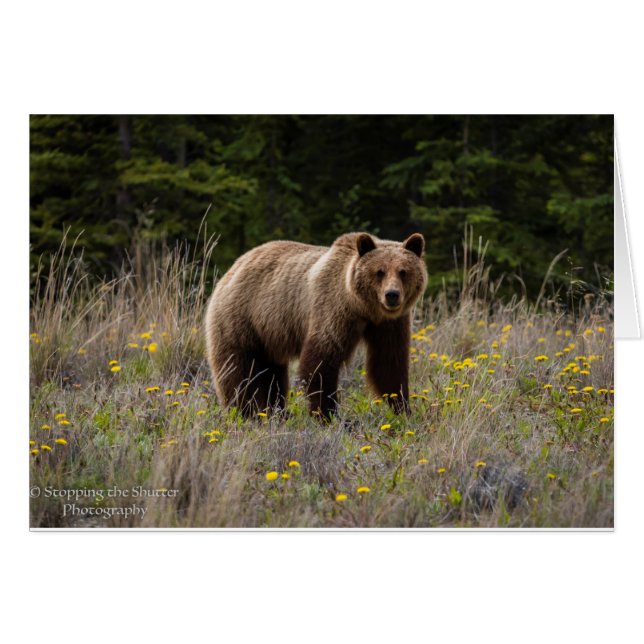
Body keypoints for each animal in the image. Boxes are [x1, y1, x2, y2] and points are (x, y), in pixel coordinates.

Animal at [204, 231, 427, 419]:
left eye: (403, 272)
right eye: (379, 272)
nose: (392, 295)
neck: (364, 309)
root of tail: (234, 266)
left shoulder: (390, 324)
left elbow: (388, 364)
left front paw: (403, 409)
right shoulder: (334, 309)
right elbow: (321, 361)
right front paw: (328, 415)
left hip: (269, 334)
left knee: (272, 374)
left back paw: (277, 412)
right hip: (240, 318)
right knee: (238, 371)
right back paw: (246, 413)